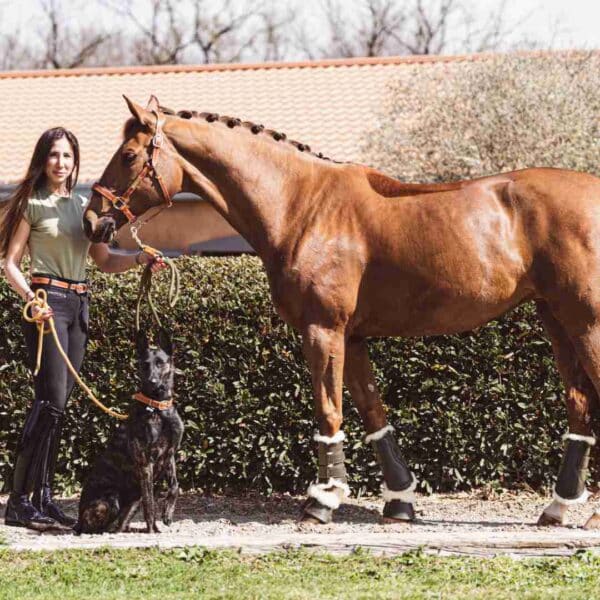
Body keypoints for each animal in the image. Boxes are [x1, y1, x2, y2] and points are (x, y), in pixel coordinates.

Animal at [77, 330, 185, 532]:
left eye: (160, 363)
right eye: (145, 365)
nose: (152, 382)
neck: (158, 407)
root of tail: (77, 520)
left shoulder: (170, 455)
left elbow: (175, 486)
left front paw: (168, 513)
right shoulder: (146, 463)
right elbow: (150, 504)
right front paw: (153, 531)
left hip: (132, 502)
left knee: (119, 525)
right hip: (110, 500)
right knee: (94, 528)